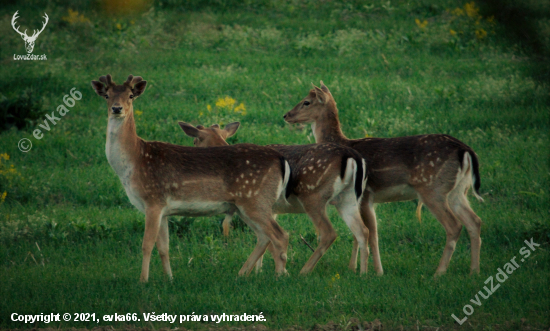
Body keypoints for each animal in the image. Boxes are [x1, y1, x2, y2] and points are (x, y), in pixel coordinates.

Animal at [89, 75, 294, 282]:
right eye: (107, 95)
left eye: (131, 96)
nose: (117, 109)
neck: (134, 162)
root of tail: (280, 159)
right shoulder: (163, 209)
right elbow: (164, 247)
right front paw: (169, 279)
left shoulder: (153, 200)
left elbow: (147, 244)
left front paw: (143, 281)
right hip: (245, 205)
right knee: (264, 237)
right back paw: (241, 274)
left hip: (255, 199)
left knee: (280, 235)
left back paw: (278, 276)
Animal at [180, 122, 376, 274]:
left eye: (195, 140)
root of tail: (353, 157)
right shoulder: (271, 208)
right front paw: (259, 271)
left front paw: (274, 271)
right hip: (348, 198)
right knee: (362, 231)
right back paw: (363, 273)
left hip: (313, 196)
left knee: (329, 232)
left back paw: (304, 271)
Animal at [286, 83, 486, 278]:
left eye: (306, 102)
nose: (286, 115)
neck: (342, 142)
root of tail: (465, 150)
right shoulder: (366, 199)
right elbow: (367, 233)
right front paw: (358, 269)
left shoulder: (366, 194)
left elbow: (370, 234)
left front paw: (374, 271)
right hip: (458, 190)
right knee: (474, 221)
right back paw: (474, 271)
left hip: (433, 189)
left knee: (454, 225)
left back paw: (439, 273)